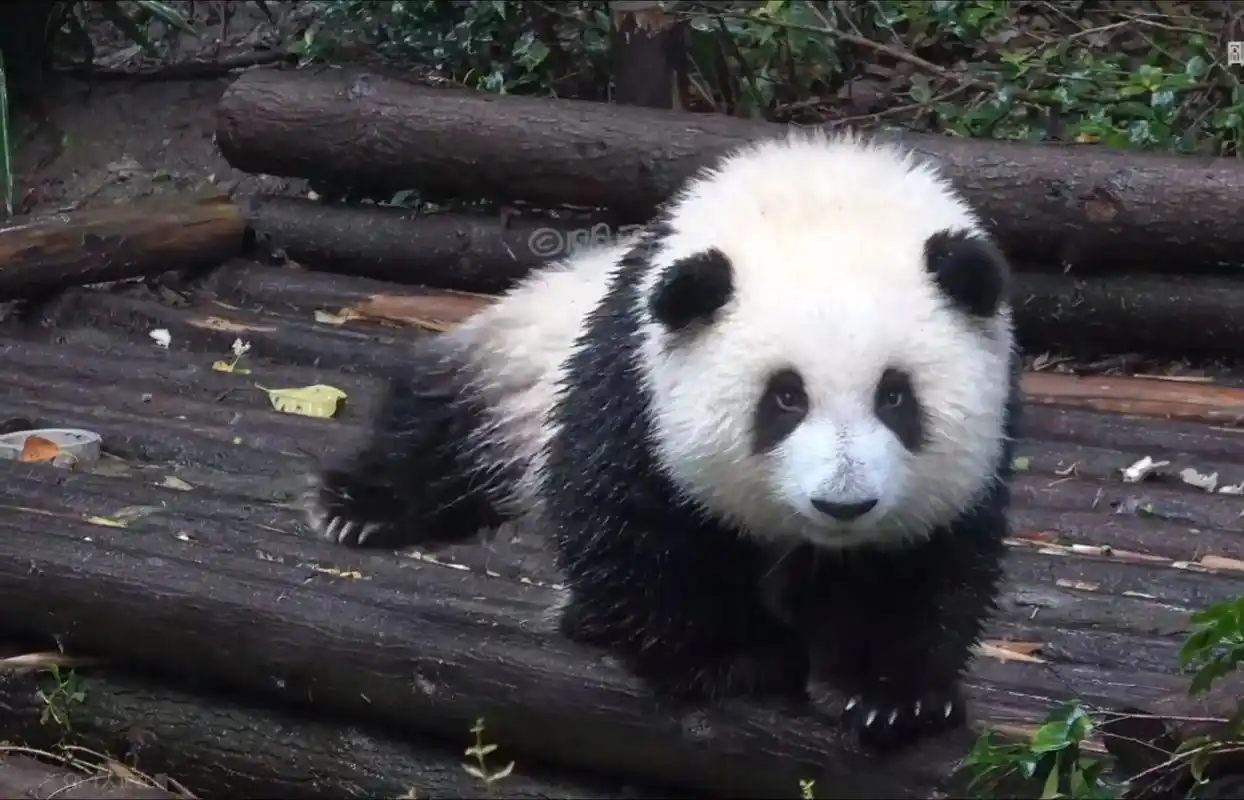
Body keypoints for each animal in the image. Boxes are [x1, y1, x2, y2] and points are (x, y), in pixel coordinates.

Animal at [307, 129, 1022, 753]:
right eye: (785, 398)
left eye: (895, 396)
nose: (843, 503)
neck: (822, 196)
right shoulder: (632, 376)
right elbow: (634, 524)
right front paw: (735, 656)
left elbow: (927, 559)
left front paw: (886, 694)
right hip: (516, 363)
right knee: (445, 425)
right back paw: (358, 509)